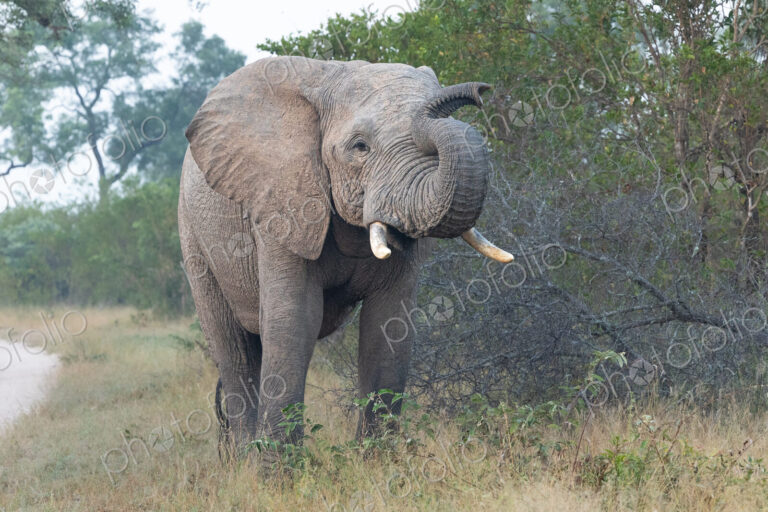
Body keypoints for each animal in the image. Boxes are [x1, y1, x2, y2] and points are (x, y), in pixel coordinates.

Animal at [178, 56, 513, 455]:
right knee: (234, 351)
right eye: (360, 147)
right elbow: (294, 320)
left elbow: (388, 327)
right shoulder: (283, 204)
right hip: (194, 238)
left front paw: (379, 462)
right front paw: (279, 470)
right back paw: (243, 459)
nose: (480, 90)